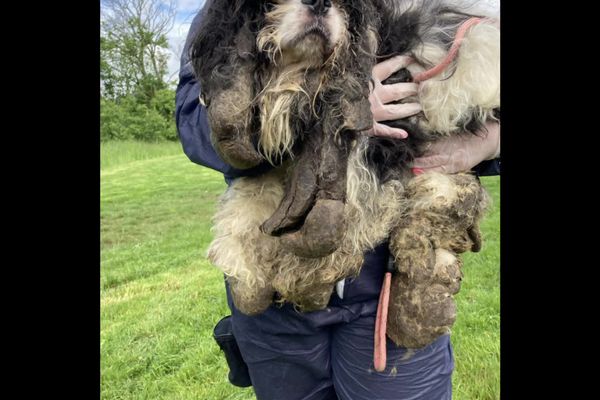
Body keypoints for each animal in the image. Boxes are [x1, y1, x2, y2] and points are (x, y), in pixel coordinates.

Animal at [190, 0, 500, 350]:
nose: (319, 3)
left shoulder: (374, 139)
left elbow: (344, 206)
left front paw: (305, 276)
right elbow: (248, 198)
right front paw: (248, 279)